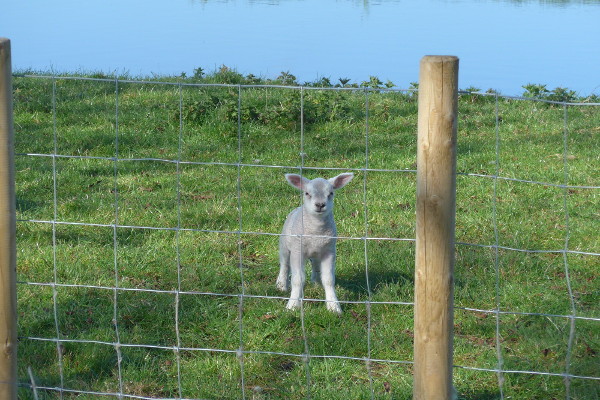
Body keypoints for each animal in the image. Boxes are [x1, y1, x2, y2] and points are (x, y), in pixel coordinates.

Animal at [276, 173, 354, 314]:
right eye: (307, 193)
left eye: (331, 193)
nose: (320, 205)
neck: (316, 231)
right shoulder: (297, 251)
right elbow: (298, 279)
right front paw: (293, 305)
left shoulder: (329, 252)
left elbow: (328, 279)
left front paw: (333, 306)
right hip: (284, 244)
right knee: (284, 265)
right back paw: (281, 285)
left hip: (317, 252)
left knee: (316, 266)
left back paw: (316, 283)